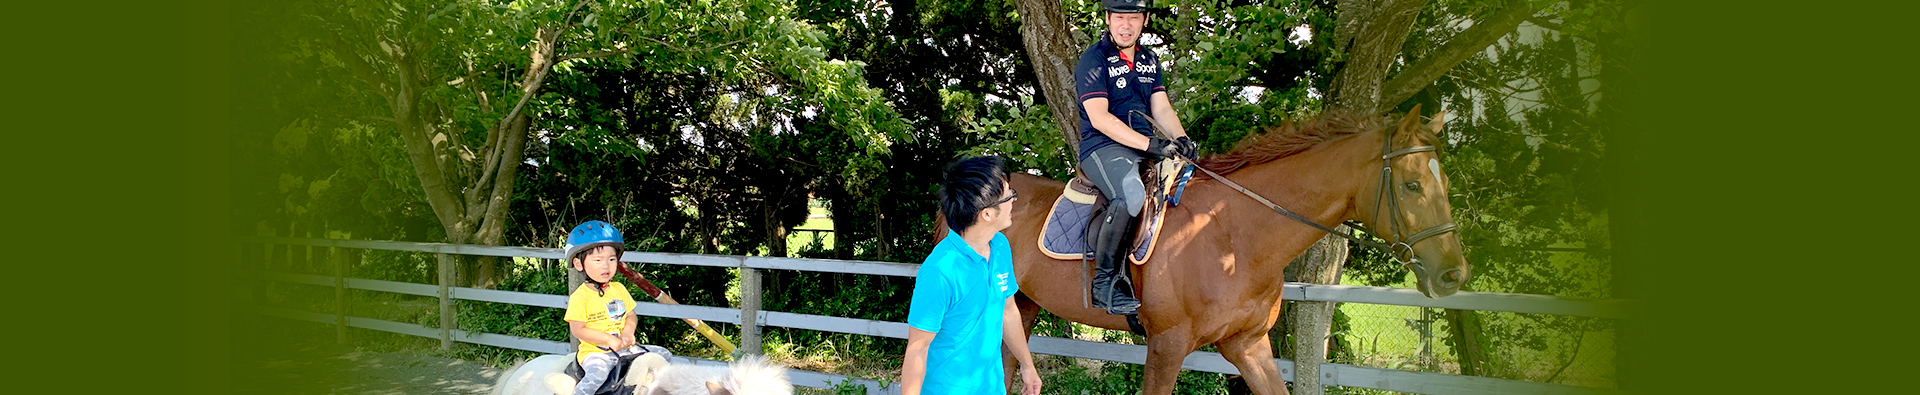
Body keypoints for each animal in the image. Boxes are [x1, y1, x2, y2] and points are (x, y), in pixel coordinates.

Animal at [990, 107, 1466, 395]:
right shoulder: (1166, 346)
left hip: (1022, 307)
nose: (1453, 275)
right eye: (1412, 185)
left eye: (1444, 182)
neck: (1234, 235)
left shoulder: (1248, 345)